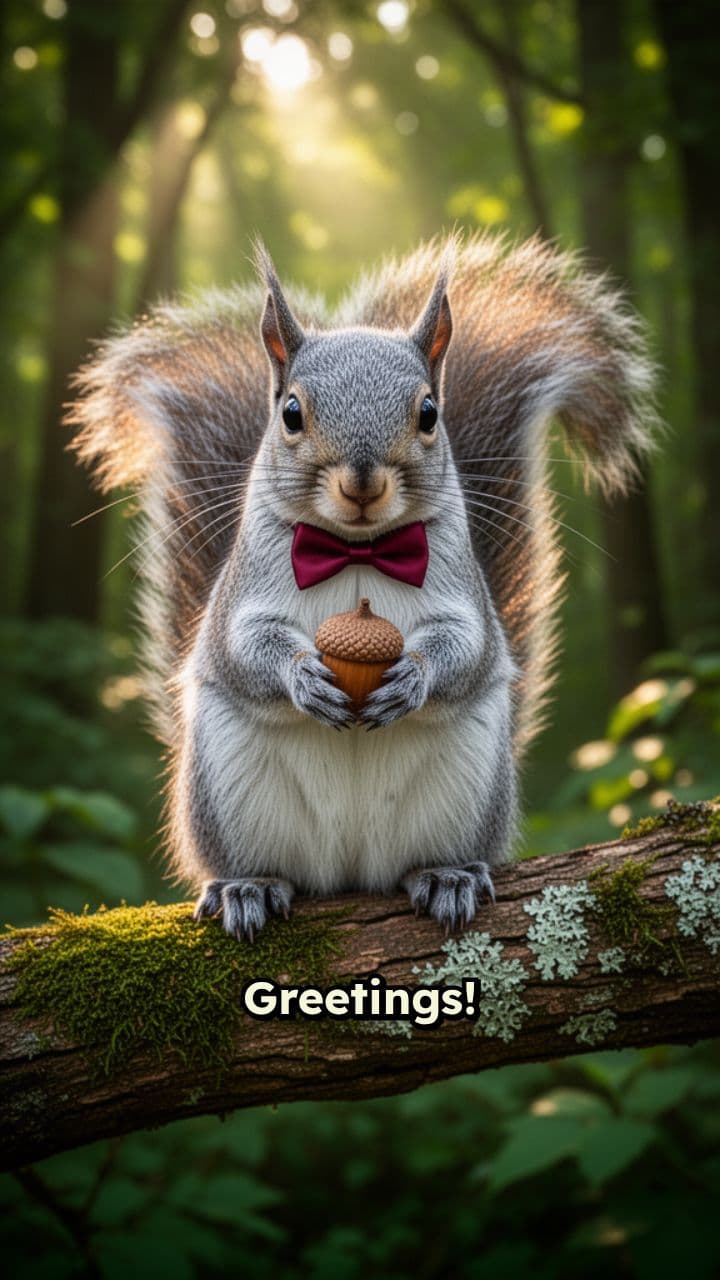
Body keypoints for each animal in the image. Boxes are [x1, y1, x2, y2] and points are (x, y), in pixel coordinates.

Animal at [69, 233, 657, 940]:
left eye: (429, 412)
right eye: (291, 412)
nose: (362, 480)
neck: (357, 554)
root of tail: (349, 869)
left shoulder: (463, 598)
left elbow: (468, 647)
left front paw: (414, 678)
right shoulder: (244, 597)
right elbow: (245, 647)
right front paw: (301, 676)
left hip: (464, 791)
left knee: (426, 856)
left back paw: (447, 876)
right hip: (227, 793)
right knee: (261, 862)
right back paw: (247, 886)